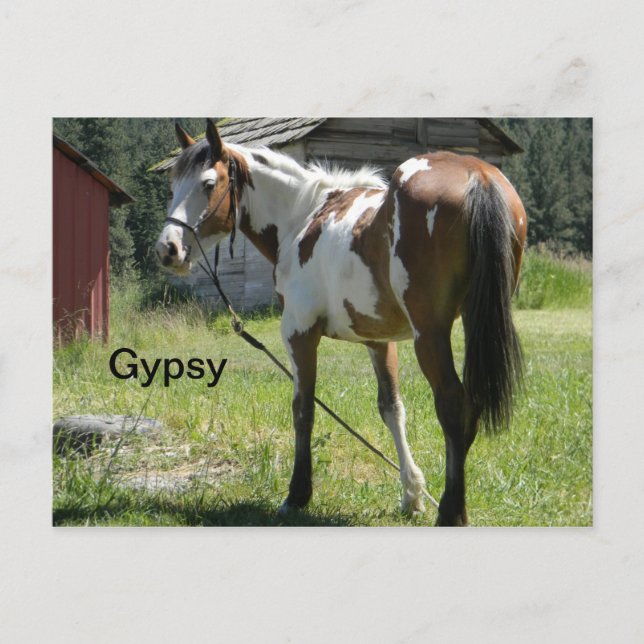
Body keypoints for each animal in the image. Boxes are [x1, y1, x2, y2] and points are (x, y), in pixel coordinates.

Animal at [155, 119, 527, 526]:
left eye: (208, 184)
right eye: (173, 184)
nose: (167, 249)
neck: (302, 216)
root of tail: (479, 176)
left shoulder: (299, 332)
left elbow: (303, 410)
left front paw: (297, 495)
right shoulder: (380, 341)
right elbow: (392, 409)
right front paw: (411, 493)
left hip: (430, 334)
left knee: (453, 406)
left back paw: (450, 512)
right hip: (476, 323)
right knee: (469, 407)